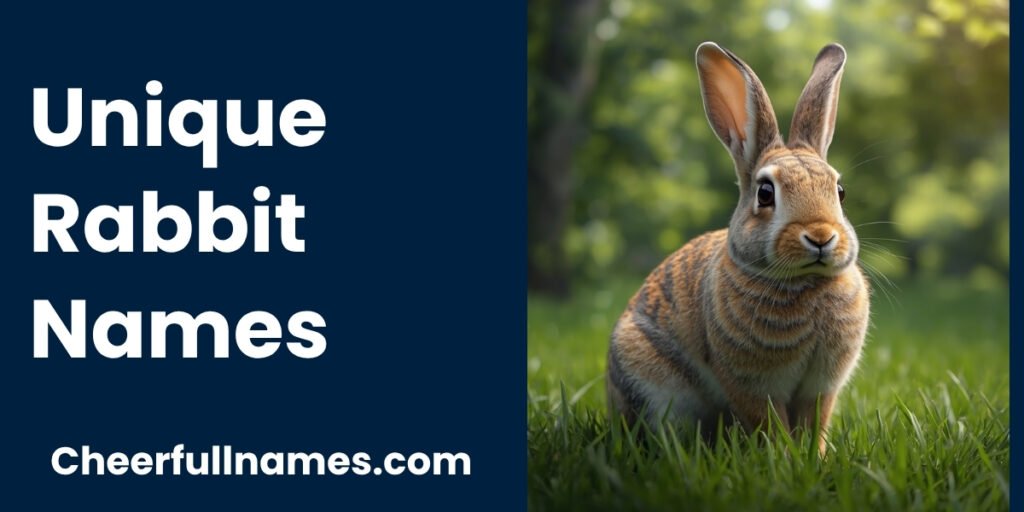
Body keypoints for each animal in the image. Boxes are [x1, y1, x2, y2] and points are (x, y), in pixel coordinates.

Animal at [606, 42, 869, 455]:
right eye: (765, 193)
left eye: (839, 191)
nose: (821, 236)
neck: (807, 283)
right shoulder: (751, 386)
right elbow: (769, 423)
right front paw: (784, 459)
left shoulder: (820, 388)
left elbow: (816, 423)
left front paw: (815, 458)